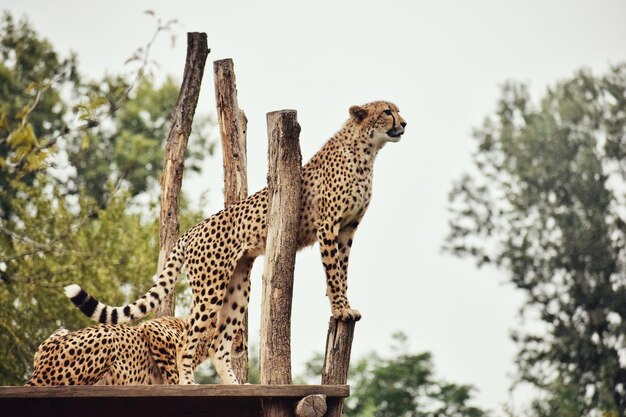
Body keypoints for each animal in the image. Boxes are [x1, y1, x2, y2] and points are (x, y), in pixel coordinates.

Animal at [63, 101, 404, 384]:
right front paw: (341, 311)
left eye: (396, 110)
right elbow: (333, 273)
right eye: (387, 111)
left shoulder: (347, 229)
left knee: (217, 343)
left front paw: (345, 307)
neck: (366, 151)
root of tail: (191, 230)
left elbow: (342, 273)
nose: (404, 123)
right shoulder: (329, 226)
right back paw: (189, 385)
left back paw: (234, 385)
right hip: (211, 287)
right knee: (187, 340)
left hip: (238, 286)